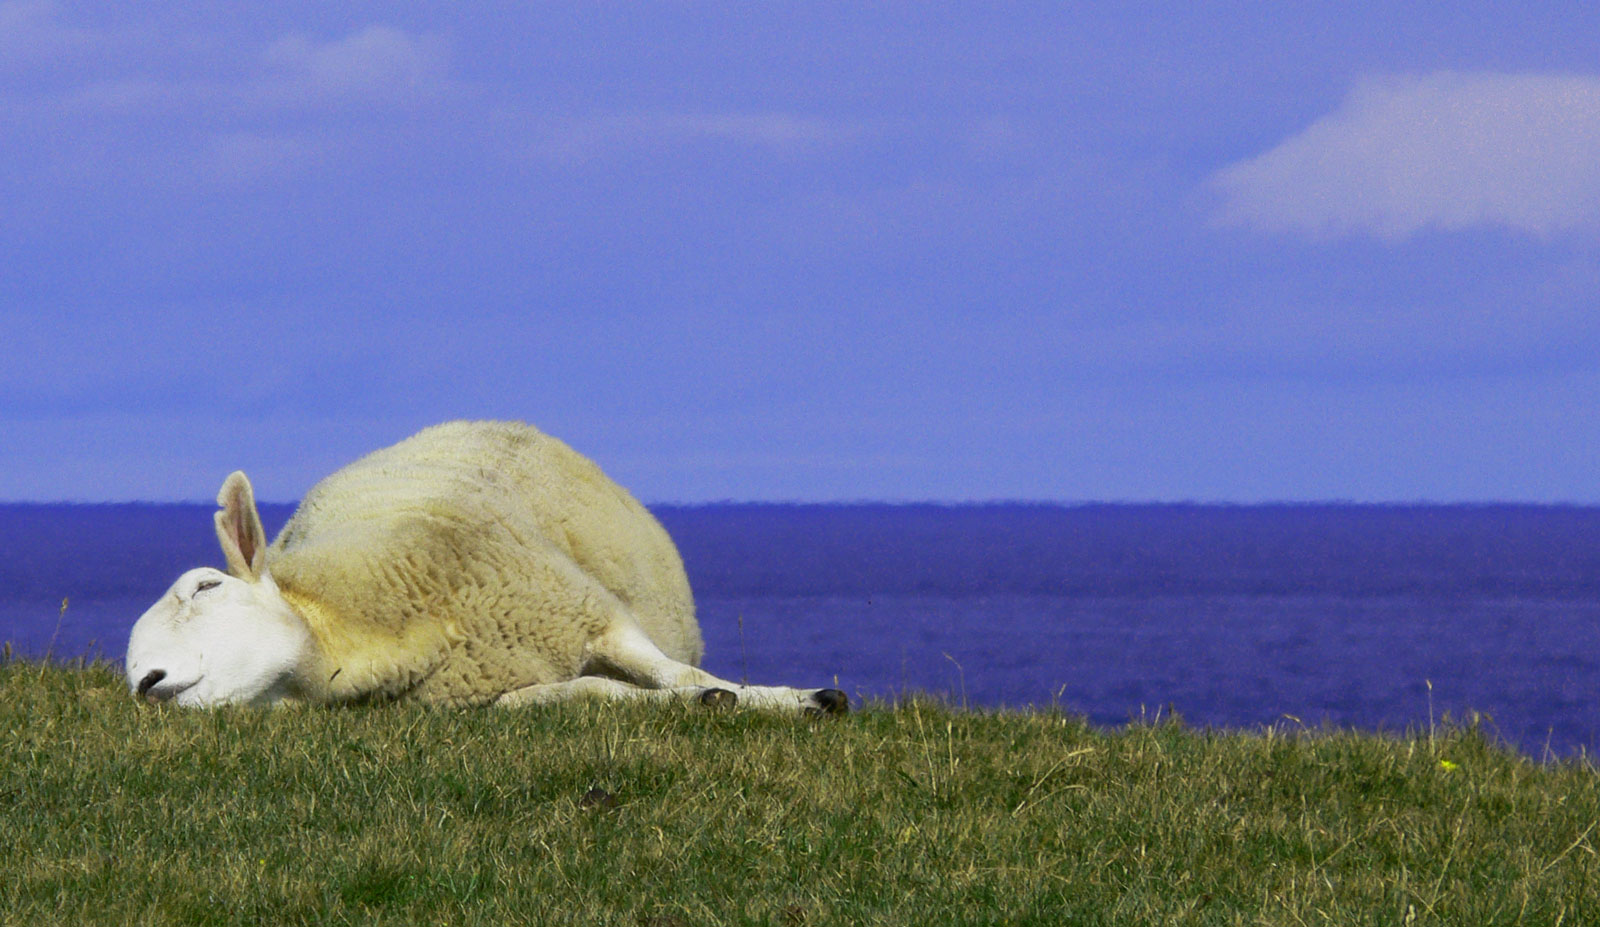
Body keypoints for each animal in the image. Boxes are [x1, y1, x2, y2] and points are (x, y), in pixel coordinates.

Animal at [121, 419, 851, 717]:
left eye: (205, 585)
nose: (145, 684)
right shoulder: (488, 696)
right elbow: (587, 692)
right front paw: (708, 704)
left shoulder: (592, 613)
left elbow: (684, 673)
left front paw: (796, 698)